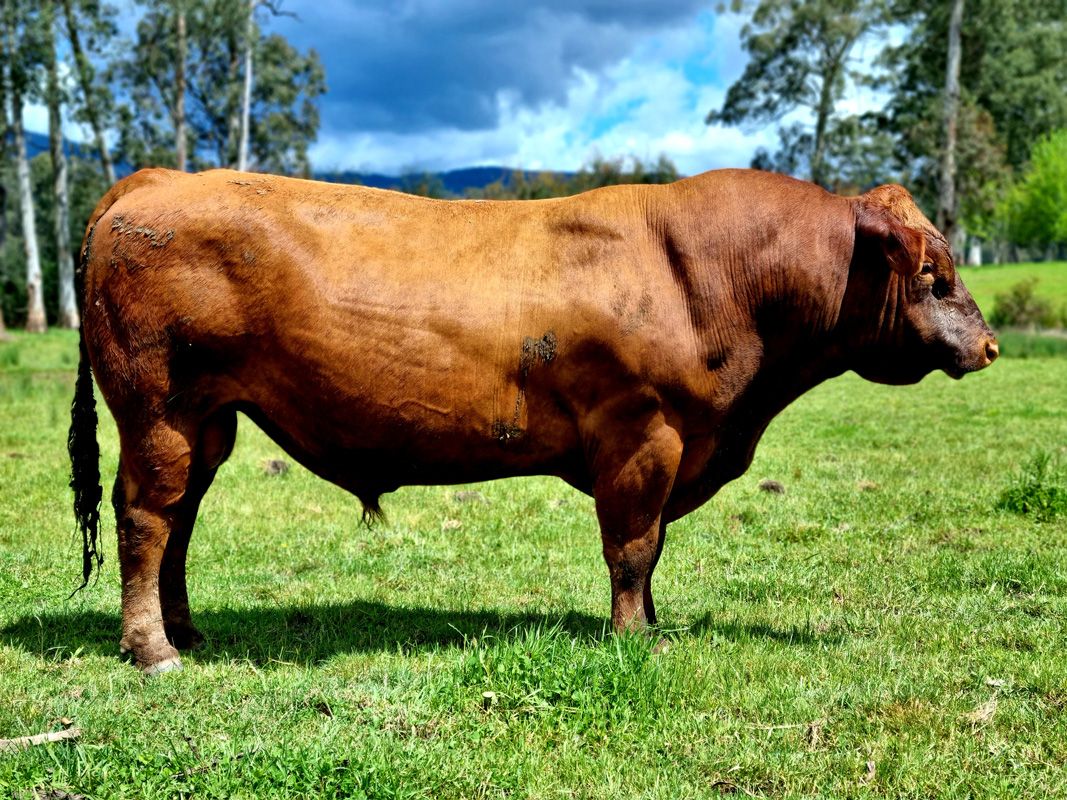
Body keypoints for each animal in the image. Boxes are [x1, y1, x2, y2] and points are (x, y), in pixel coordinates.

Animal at [68, 167, 998, 674]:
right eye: (934, 272)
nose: (989, 344)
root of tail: (160, 180)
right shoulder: (642, 433)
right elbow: (632, 546)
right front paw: (631, 636)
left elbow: (652, 549)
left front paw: (650, 623)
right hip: (158, 408)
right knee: (146, 518)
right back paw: (152, 649)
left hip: (208, 420)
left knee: (181, 520)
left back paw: (187, 629)